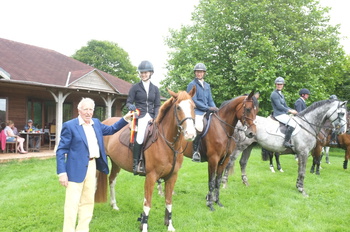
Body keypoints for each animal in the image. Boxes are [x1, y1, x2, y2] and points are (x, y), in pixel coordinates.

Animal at [95, 88, 197, 231]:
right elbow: (147, 203)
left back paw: (114, 205)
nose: (190, 134)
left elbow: (169, 201)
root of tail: (104, 123)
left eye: (194, 107)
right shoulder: (151, 177)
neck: (166, 143)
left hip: (116, 163)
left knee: (112, 180)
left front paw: (170, 226)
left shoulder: (172, 177)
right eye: (178, 107)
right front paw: (144, 226)